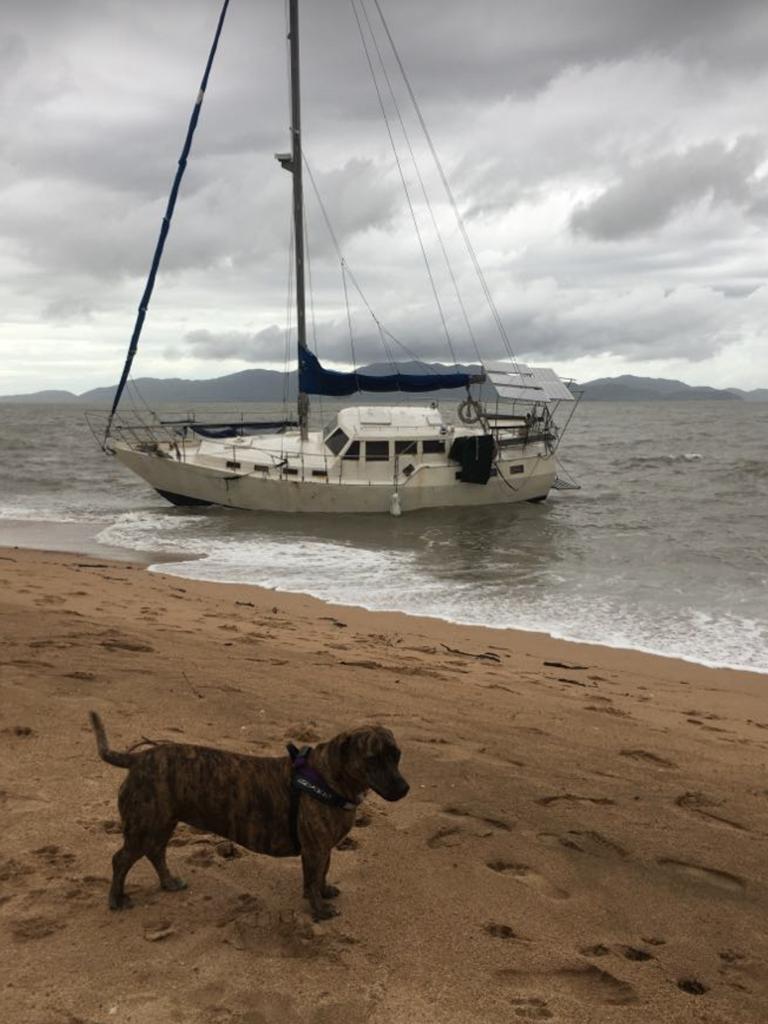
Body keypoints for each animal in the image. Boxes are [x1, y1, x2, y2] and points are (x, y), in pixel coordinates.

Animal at [90, 712, 409, 921]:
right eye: (372, 759)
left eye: (397, 755)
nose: (404, 788)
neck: (330, 777)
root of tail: (137, 758)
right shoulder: (315, 849)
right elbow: (312, 878)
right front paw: (318, 910)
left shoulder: (323, 848)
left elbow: (321, 875)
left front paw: (323, 891)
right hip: (144, 826)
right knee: (121, 859)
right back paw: (116, 899)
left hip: (161, 824)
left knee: (155, 852)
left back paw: (168, 882)